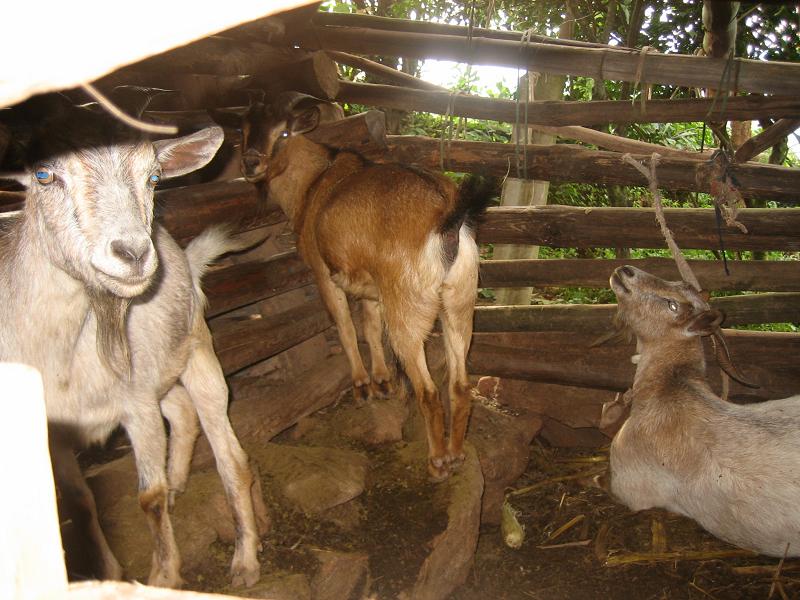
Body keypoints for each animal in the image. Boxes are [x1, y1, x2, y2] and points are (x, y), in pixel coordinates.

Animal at [0, 102, 260, 584]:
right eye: (44, 175)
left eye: (153, 178)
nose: (133, 253)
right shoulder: (53, 431)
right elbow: (80, 501)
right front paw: (110, 572)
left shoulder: (135, 404)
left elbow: (148, 497)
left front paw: (163, 577)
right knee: (181, 410)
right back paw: (179, 480)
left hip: (196, 349)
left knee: (229, 454)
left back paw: (245, 559)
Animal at [228, 91, 494, 480]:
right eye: (243, 129)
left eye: (284, 133)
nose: (250, 164)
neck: (314, 184)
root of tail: (448, 216)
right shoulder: (371, 284)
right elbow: (369, 325)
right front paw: (382, 381)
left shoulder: (323, 273)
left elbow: (345, 326)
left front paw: (362, 386)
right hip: (459, 302)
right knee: (459, 385)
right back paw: (457, 455)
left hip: (407, 306)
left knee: (428, 391)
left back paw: (438, 462)